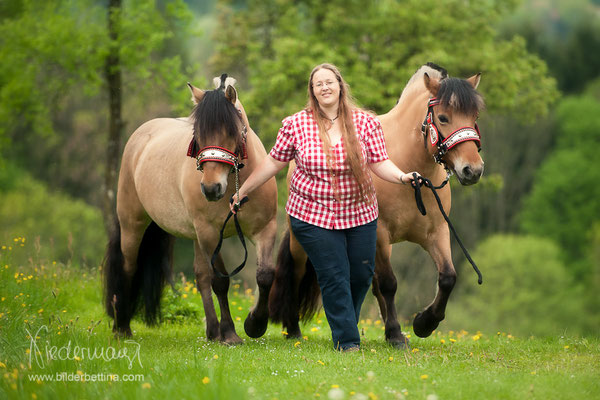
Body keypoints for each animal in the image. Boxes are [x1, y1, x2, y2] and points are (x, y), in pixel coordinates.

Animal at [104, 75, 278, 344]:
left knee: (200, 276)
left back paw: (212, 331)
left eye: (231, 131)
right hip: (133, 225)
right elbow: (220, 282)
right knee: (128, 267)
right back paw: (122, 326)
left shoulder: (265, 229)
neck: (237, 184)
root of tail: (140, 137)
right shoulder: (209, 233)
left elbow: (265, 275)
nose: (211, 188)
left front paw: (254, 324)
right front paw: (230, 334)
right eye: (198, 136)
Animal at [270, 63, 486, 346]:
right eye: (443, 118)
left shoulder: (437, 232)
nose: (473, 170)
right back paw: (293, 329)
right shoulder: (380, 235)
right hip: (301, 242)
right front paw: (398, 332)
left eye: (474, 116)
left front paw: (423, 324)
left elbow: (448, 277)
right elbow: (388, 284)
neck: (407, 164)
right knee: (295, 273)